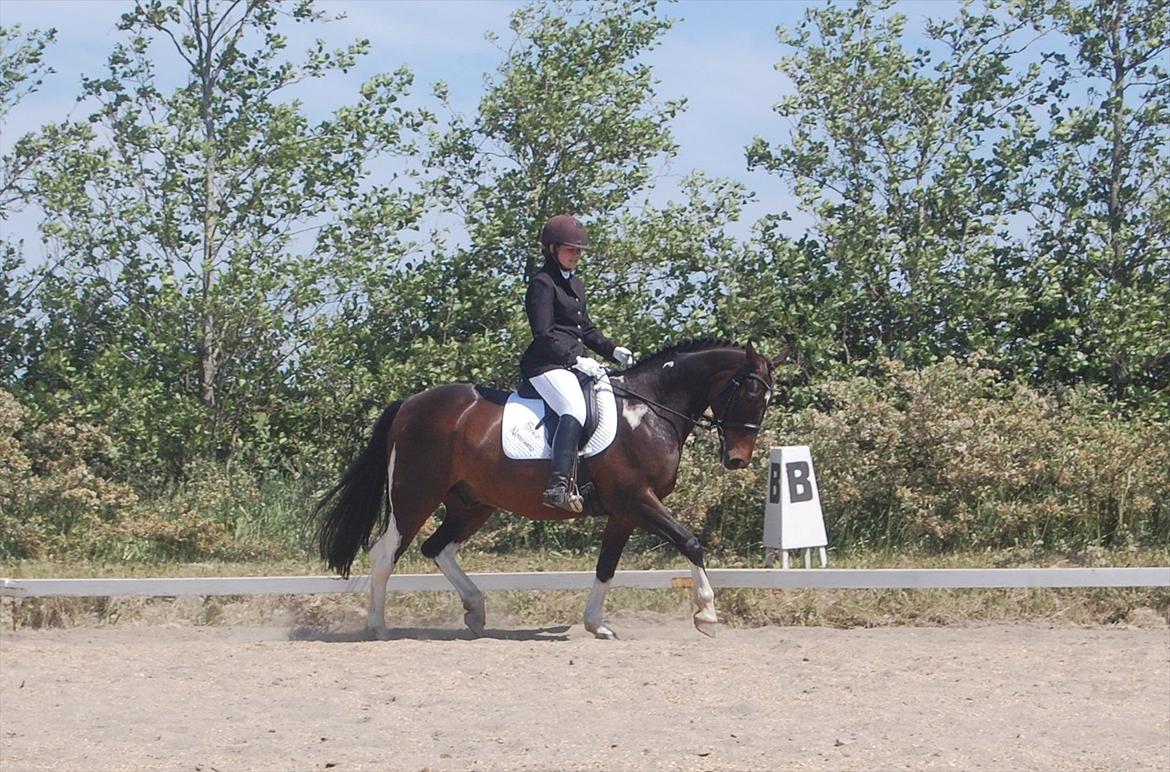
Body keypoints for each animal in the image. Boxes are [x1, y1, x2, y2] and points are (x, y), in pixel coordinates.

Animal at [315, 339, 786, 640]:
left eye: (767, 399)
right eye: (748, 391)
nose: (737, 459)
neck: (648, 411)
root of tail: (409, 404)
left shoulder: (624, 511)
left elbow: (606, 566)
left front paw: (597, 624)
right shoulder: (637, 500)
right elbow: (690, 542)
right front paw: (706, 613)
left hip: (472, 503)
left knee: (438, 548)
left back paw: (475, 610)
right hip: (415, 496)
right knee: (385, 553)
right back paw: (378, 626)